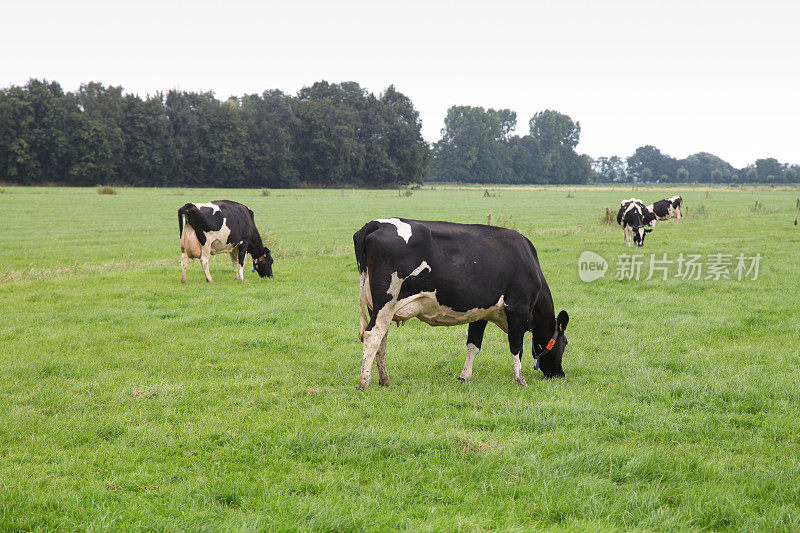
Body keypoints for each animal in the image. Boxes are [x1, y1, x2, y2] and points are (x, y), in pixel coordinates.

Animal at [354, 218, 572, 388]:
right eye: (565, 343)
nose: (560, 374)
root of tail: (376, 224)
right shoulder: (518, 309)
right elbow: (516, 347)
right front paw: (521, 380)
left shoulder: (481, 312)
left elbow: (473, 344)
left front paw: (464, 377)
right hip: (386, 302)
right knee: (372, 336)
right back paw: (364, 383)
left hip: (376, 307)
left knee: (381, 341)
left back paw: (384, 381)